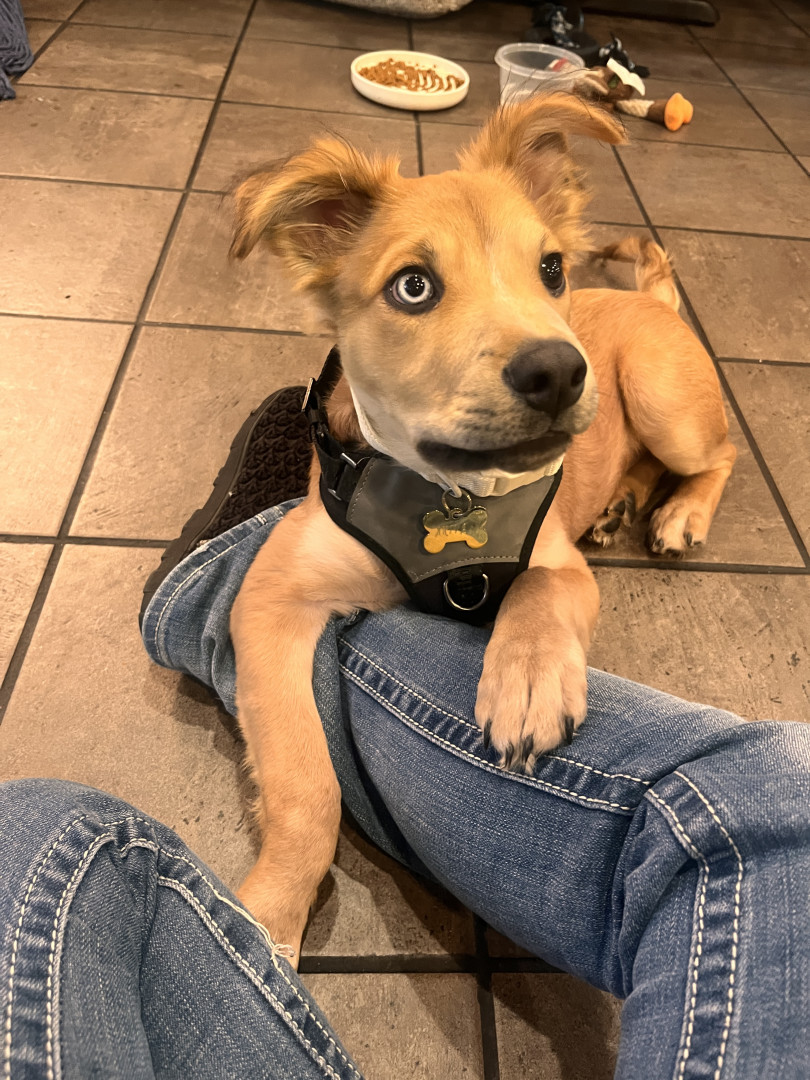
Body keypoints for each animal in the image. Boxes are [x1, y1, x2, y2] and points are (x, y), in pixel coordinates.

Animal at [225, 92, 736, 965]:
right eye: (414, 287)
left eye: (552, 269)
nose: (560, 372)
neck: (451, 490)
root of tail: (650, 298)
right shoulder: (271, 596)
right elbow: (304, 781)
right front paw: (268, 919)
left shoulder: (559, 568)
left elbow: (536, 594)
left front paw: (526, 684)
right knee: (637, 459)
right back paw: (622, 504)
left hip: (665, 399)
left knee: (718, 451)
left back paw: (679, 512)